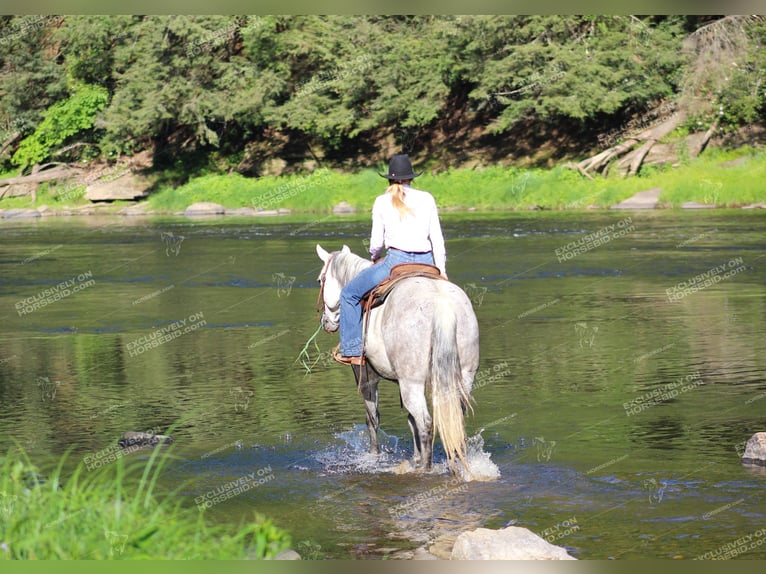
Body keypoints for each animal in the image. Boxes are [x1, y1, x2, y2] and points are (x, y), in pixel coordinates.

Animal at [316, 245, 476, 474]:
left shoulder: (366, 375)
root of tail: (442, 305)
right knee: (453, 419)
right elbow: (410, 421)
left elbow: (372, 418)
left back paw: (425, 469)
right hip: (464, 378)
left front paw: (374, 456)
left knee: (426, 423)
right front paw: (415, 457)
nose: (326, 322)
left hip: (412, 384)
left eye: (321, 279)